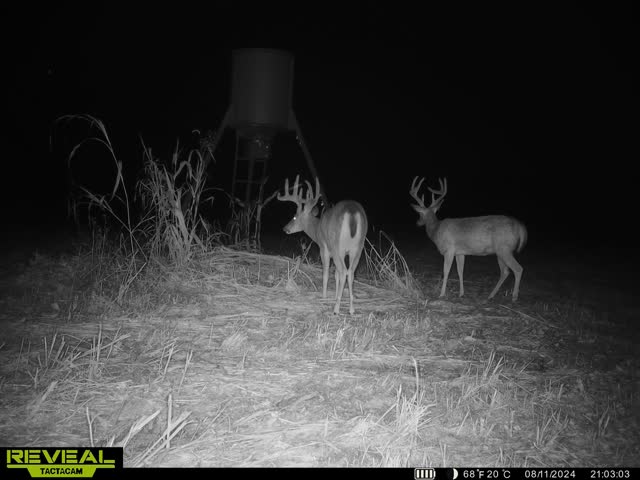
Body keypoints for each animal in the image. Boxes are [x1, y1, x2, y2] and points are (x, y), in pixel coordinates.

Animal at [278, 175, 368, 315]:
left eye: (294, 217)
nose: (285, 229)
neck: (317, 229)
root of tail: (352, 212)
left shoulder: (324, 247)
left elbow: (326, 273)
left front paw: (324, 296)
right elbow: (336, 275)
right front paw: (335, 295)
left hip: (337, 246)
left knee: (344, 271)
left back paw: (336, 309)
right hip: (358, 247)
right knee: (351, 272)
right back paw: (351, 309)